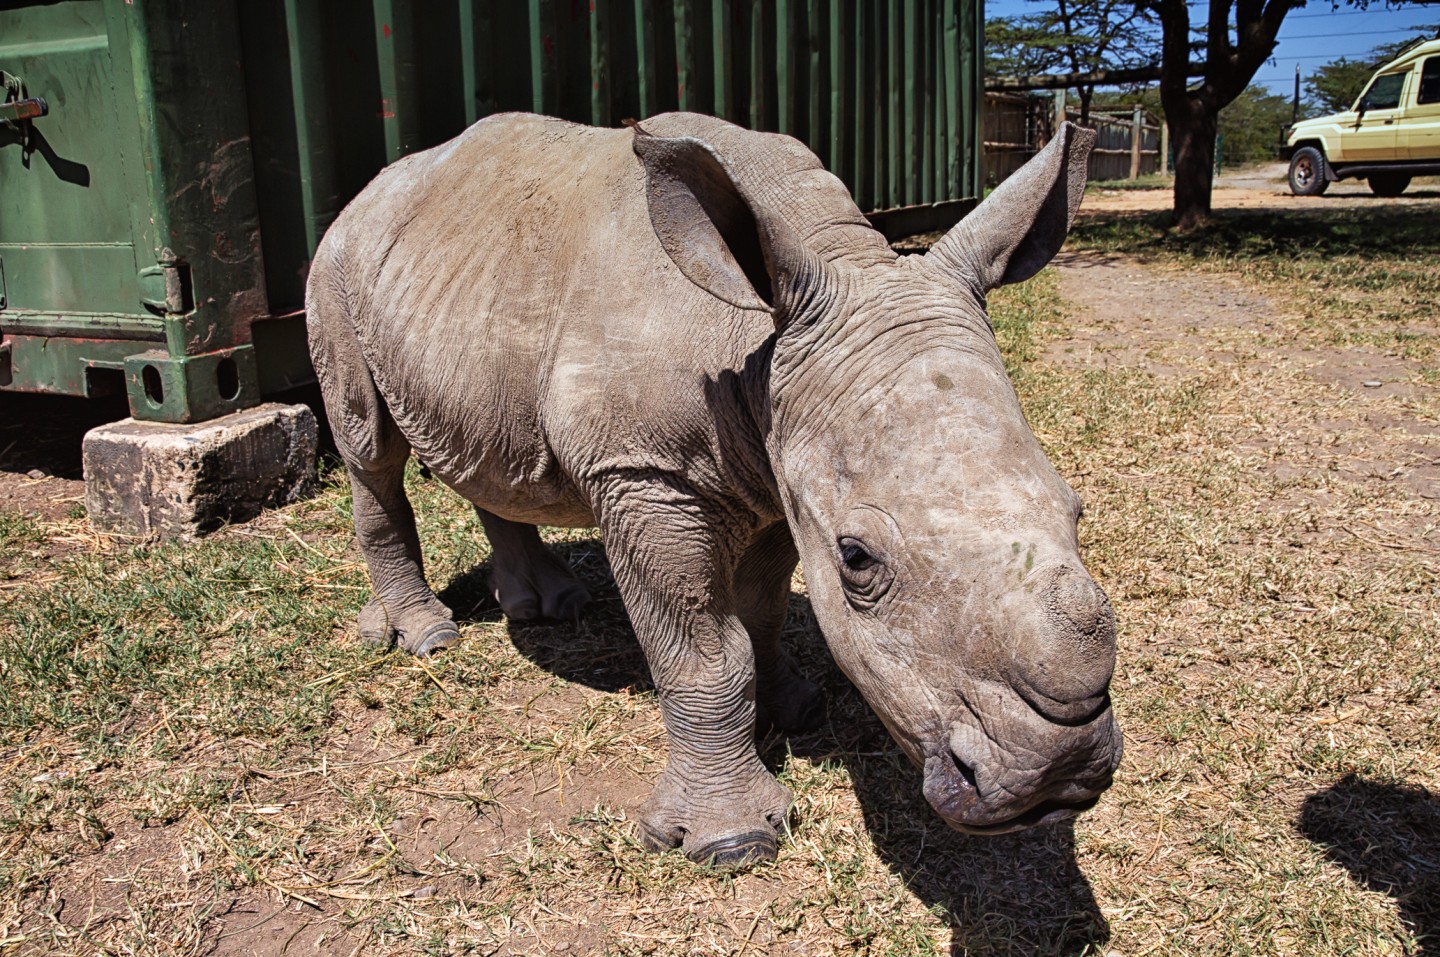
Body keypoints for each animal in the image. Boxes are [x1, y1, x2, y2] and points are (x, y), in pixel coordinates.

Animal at [307, 111, 1122, 868]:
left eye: (1076, 510)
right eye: (858, 560)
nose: (1058, 775)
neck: (762, 346)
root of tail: (370, 191)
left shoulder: (776, 467)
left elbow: (762, 607)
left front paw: (794, 709)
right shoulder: (642, 471)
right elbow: (703, 651)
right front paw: (731, 842)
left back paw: (547, 607)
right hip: (335, 267)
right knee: (369, 448)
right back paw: (425, 637)